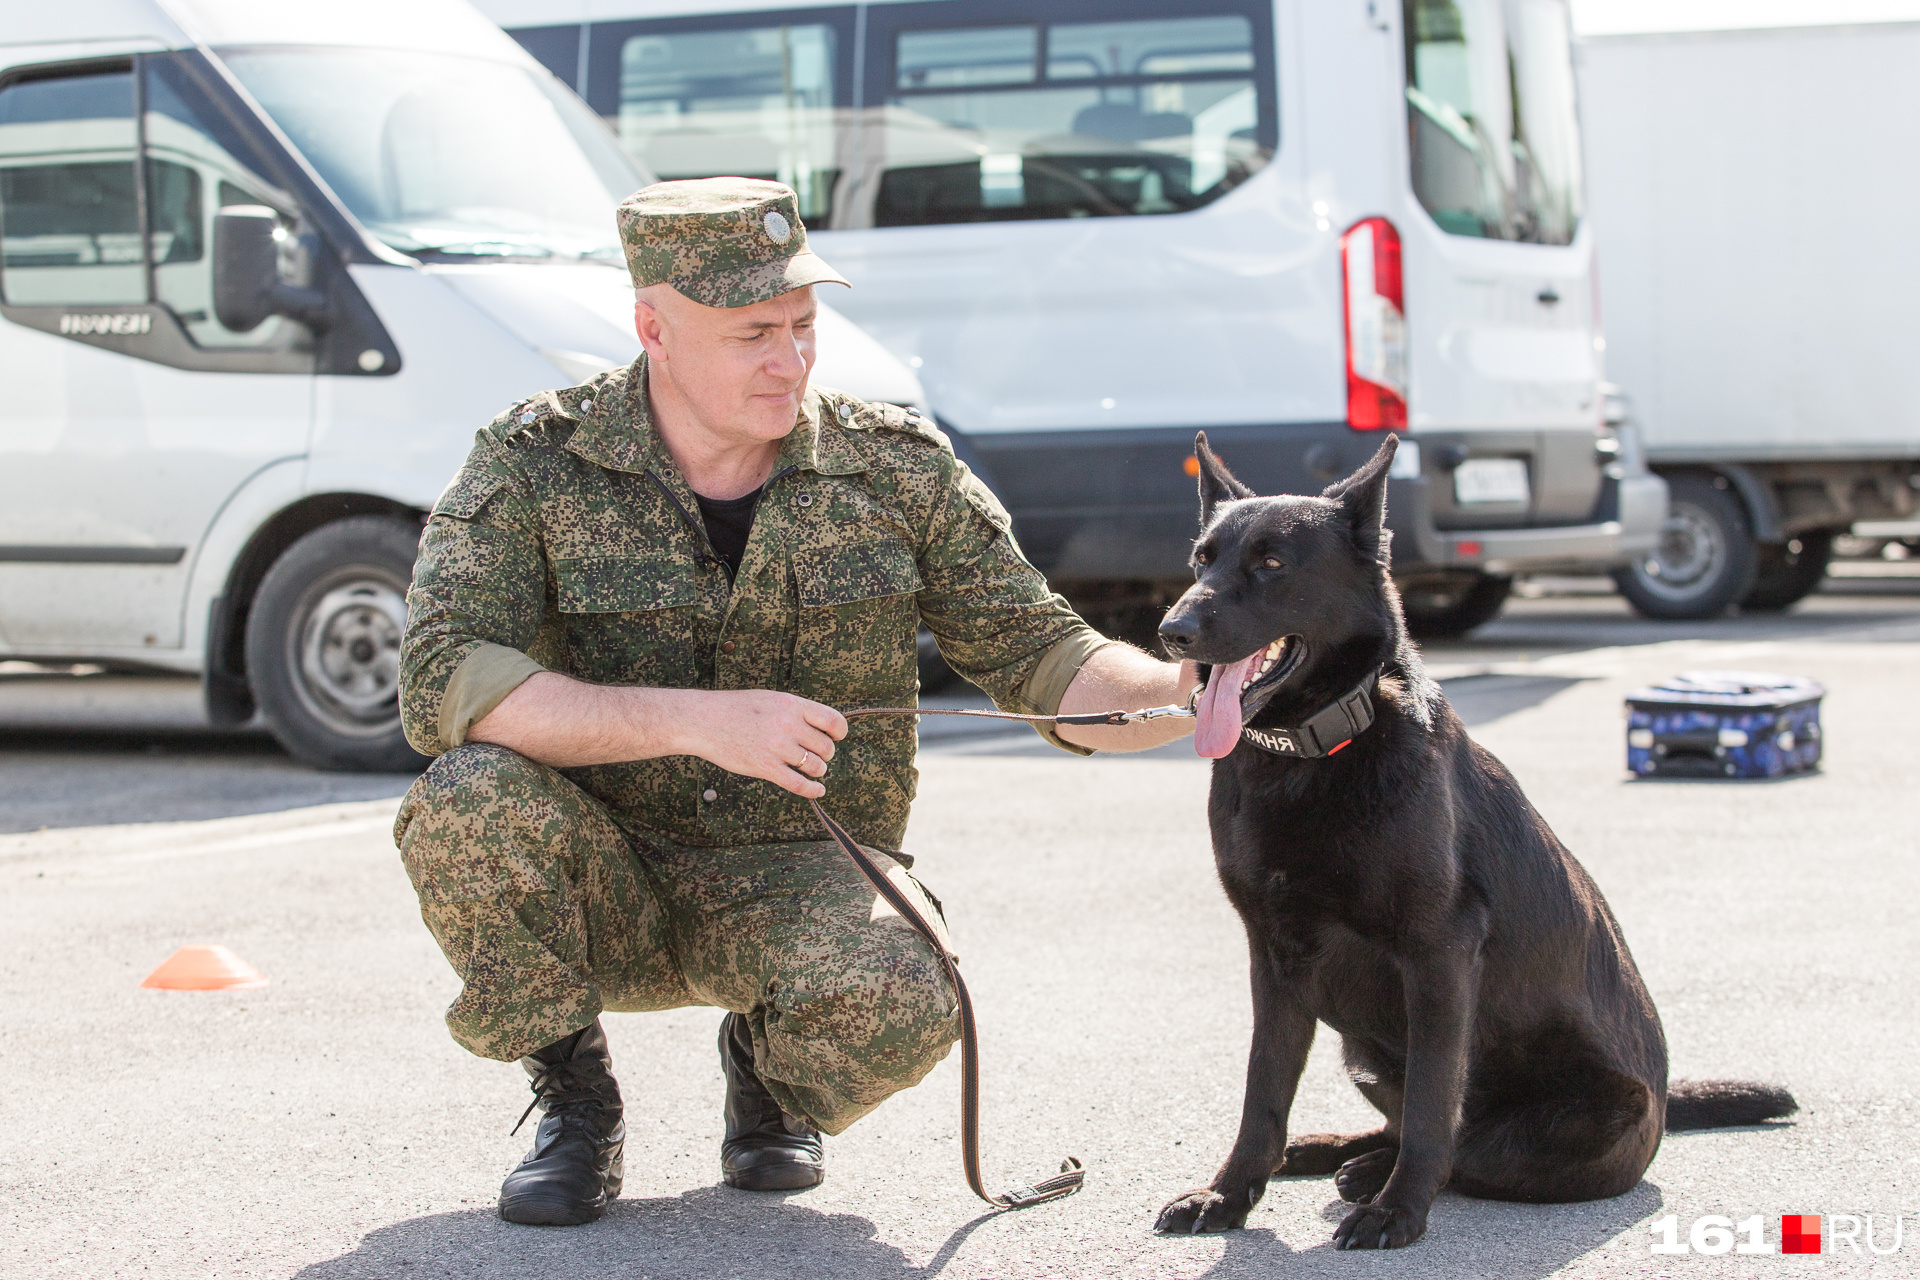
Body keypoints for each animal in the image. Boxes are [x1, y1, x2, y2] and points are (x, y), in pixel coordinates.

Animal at [1152, 437, 1797, 1251]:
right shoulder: (1274, 957)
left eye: (1272, 562)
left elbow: (1435, 1103)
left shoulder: (1438, 953)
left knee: (1470, 1146)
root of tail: (1661, 1106)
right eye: (1201, 559)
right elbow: (1261, 1094)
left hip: (1571, 1124)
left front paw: (1397, 1210)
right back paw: (1333, 1152)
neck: (1313, 754)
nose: (1171, 631)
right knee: (1410, 1124)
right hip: (1362, 1053)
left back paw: (1369, 1173)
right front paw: (1228, 1194)